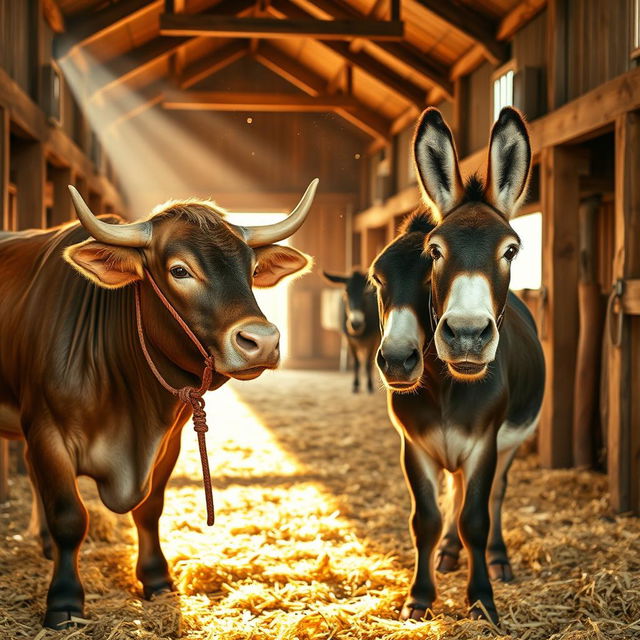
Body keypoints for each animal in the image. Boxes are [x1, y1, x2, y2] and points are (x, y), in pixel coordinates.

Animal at [0, 181, 318, 632]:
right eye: (180, 271)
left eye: (251, 270)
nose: (262, 341)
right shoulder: (48, 433)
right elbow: (70, 517)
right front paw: (64, 600)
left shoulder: (168, 440)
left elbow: (150, 509)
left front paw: (156, 578)